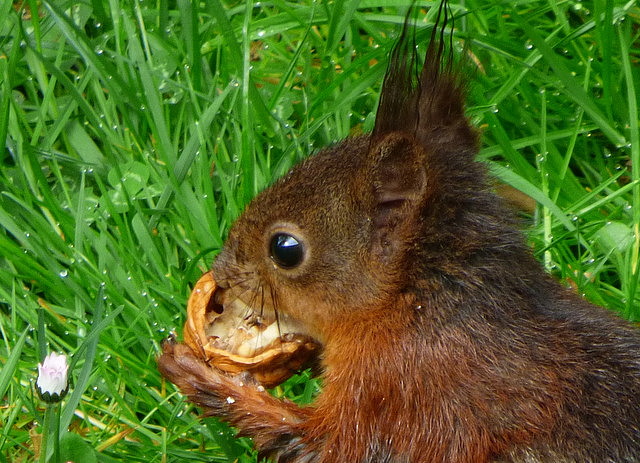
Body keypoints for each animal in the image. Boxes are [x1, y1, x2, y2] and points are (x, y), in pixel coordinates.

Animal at [158, 2, 640, 462]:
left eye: (285, 249)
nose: (222, 269)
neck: (421, 308)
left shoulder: (399, 391)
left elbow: (322, 443)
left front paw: (197, 374)